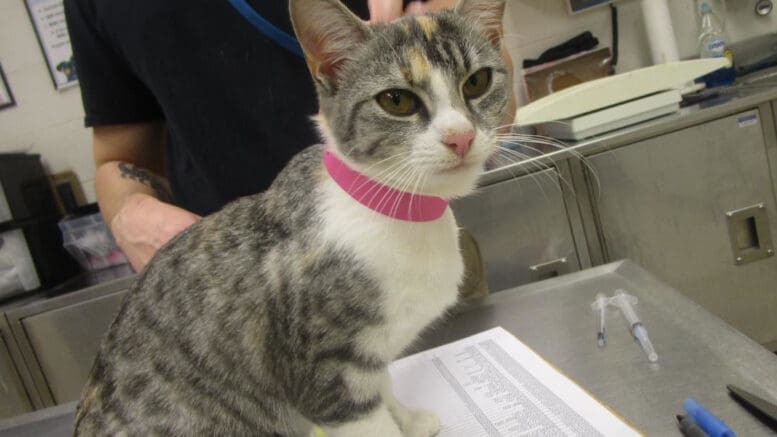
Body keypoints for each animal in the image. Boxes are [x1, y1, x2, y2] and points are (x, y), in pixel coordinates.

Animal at [74, 0, 510, 434]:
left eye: (477, 82)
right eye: (397, 101)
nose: (460, 137)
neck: (396, 211)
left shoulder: (366, 358)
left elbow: (382, 385)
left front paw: (408, 419)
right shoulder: (326, 377)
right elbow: (365, 419)